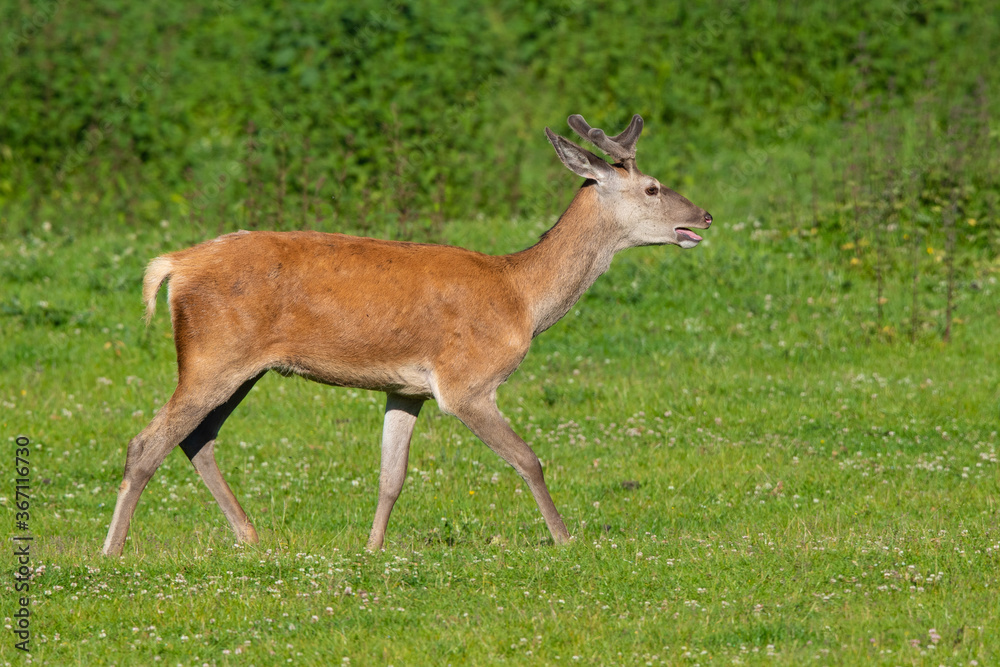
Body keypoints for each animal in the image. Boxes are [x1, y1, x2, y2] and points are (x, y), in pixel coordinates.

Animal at [101, 112, 712, 556]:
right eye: (653, 188)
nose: (704, 216)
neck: (520, 296)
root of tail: (174, 265)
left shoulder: (407, 388)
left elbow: (391, 475)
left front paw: (372, 548)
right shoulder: (467, 382)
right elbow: (528, 459)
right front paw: (566, 539)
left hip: (242, 367)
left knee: (197, 438)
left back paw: (249, 536)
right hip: (212, 355)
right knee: (145, 444)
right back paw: (113, 551)